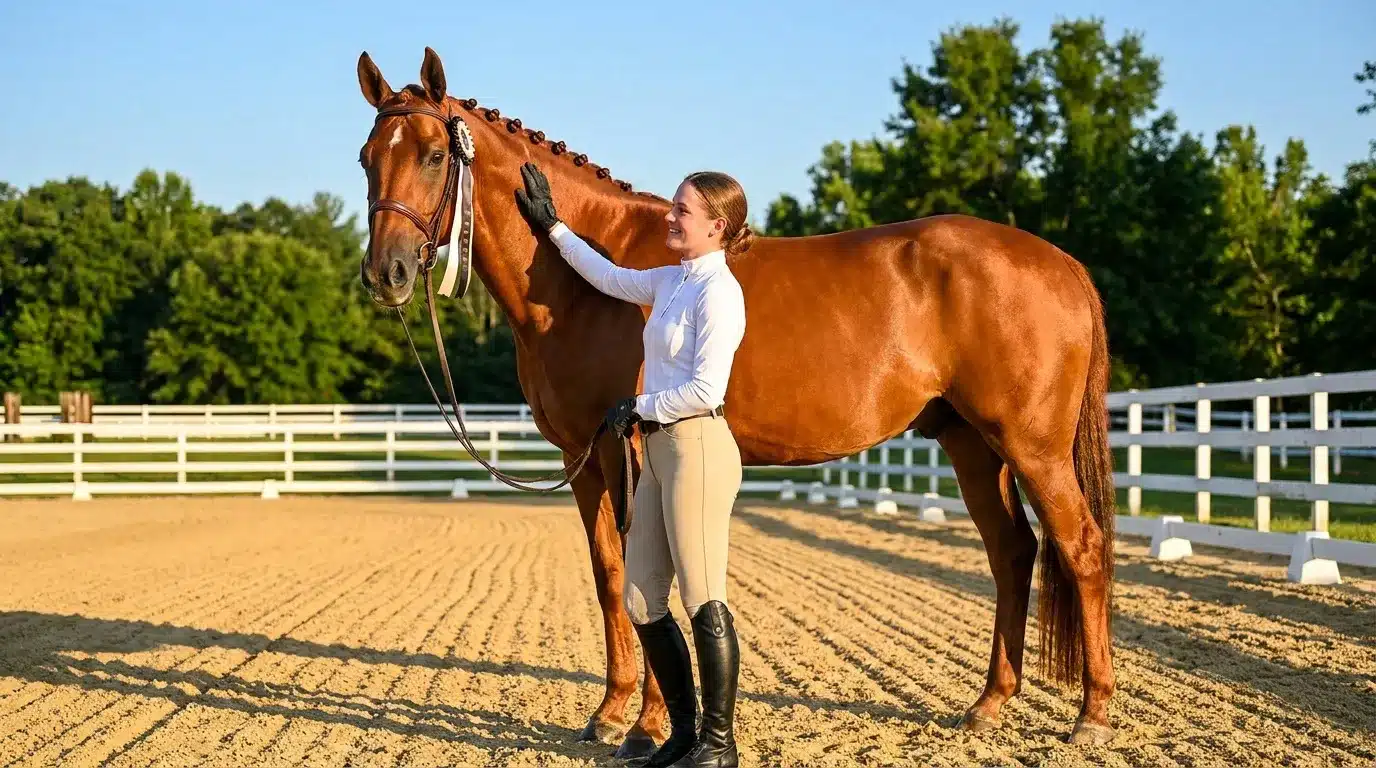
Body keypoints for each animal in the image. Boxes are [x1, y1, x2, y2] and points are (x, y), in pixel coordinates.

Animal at [354, 47, 1119, 753]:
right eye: (367, 159)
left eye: (432, 156)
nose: (386, 274)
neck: (580, 283)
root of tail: (1061, 263)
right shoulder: (583, 458)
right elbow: (610, 577)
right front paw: (609, 713)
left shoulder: (624, 448)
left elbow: (647, 577)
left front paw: (648, 724)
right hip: (971, 444)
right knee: (1012, 551)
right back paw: (989, 704)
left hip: (1032, 446)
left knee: (1081, 548)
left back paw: (1092, 714)